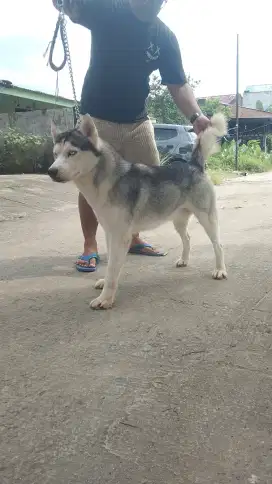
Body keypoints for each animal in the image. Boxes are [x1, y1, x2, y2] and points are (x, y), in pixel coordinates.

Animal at [49, 114, 227, 310]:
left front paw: (105, 299)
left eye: (72, 153)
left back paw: (220, 270)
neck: (108, 181)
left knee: (218, 245)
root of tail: (193, 165)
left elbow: (113, 268)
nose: (51, 171)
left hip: (207, 219)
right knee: (187, 238)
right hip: (178, 221)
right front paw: (105, 284)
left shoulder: (120, 236)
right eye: (55, 154)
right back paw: (184, 260)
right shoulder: (110, 233)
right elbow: (111, 265)